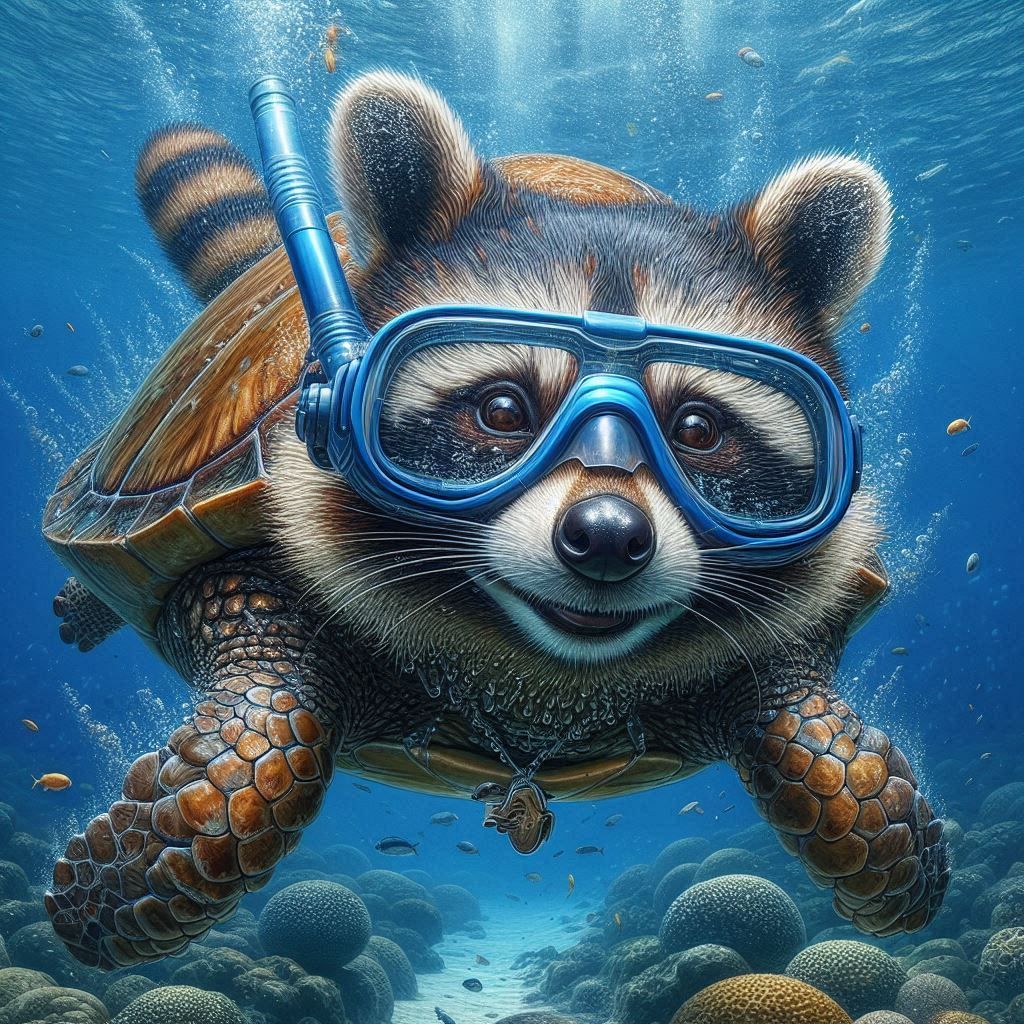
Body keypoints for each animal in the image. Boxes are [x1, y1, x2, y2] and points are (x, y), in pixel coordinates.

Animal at [44, 71, 947, 971]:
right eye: (503, 411)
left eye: (697, 428)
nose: (609, 536)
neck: (537, 687)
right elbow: (250, 769)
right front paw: (98, 896)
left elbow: (850, 793)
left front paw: (895, 855)